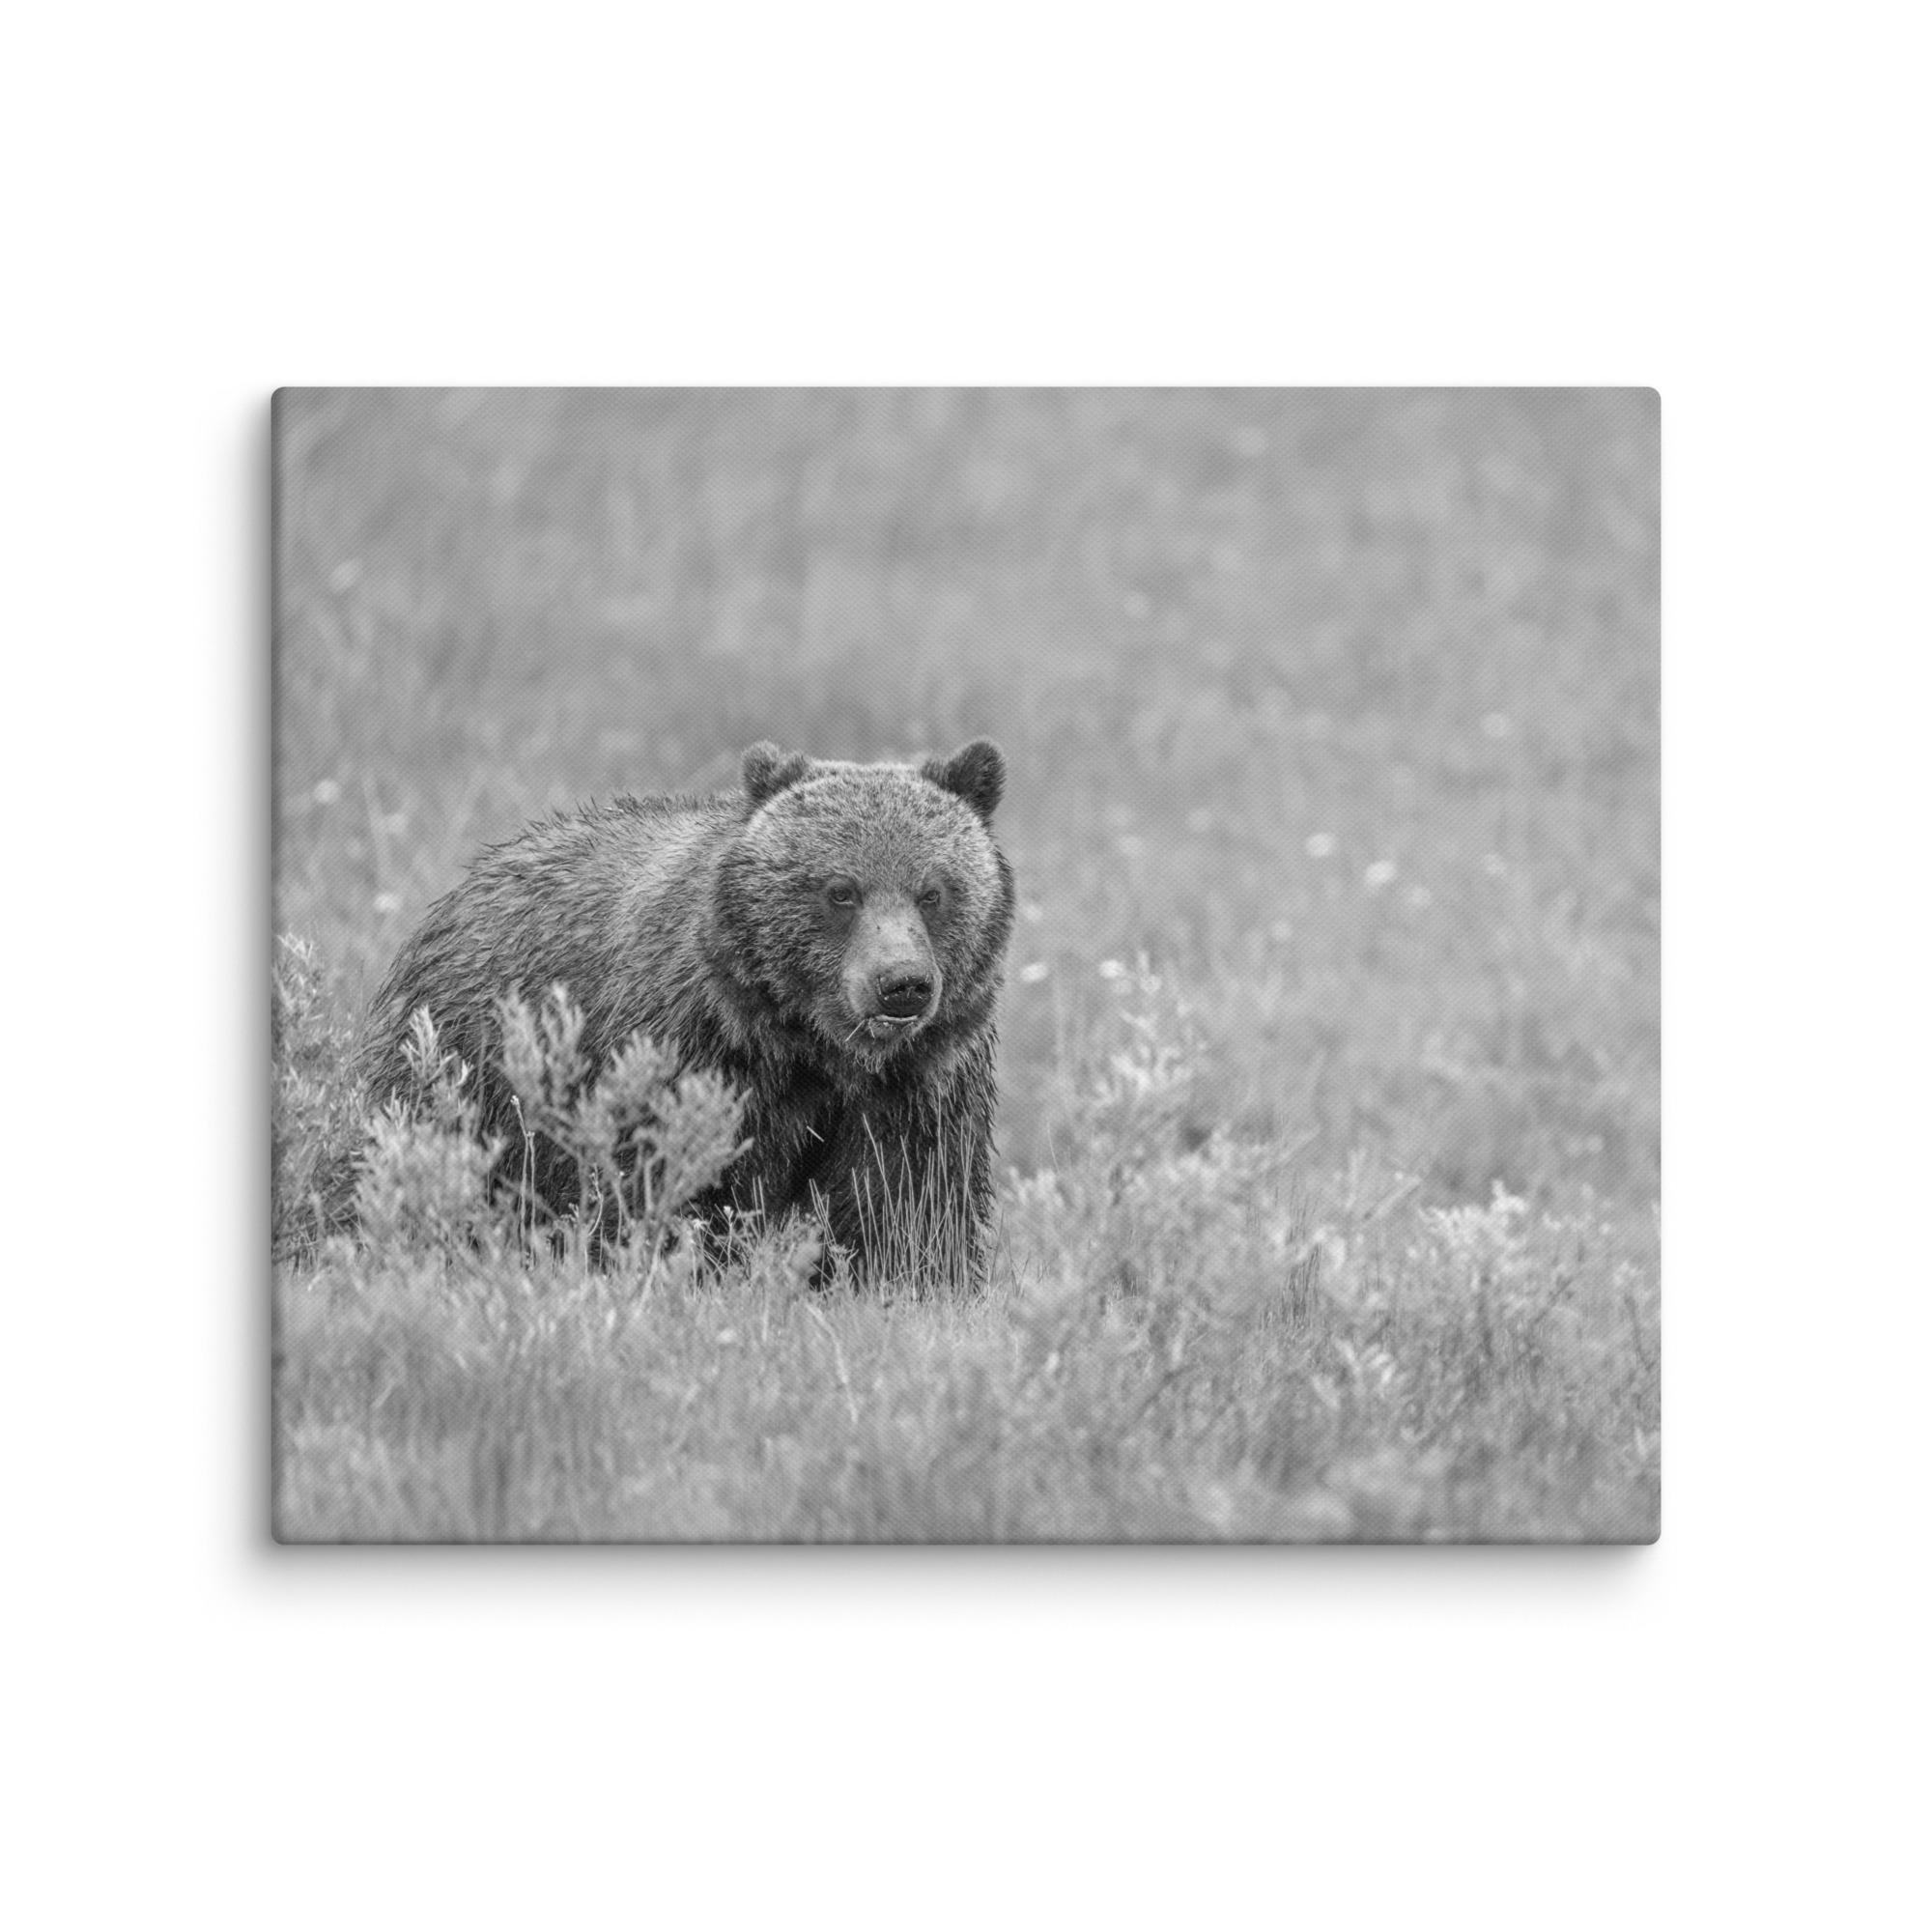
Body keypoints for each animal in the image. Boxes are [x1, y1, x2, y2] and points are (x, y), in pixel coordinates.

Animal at [359, 739, 1015, 1284]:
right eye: (840, 890)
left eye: (933, 891)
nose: (901, 984)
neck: (811, 1047)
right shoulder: (691, 1051)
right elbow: (670, 1183)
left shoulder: (919, 1084)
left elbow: (908, 1206)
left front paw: (910, 1284)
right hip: (467, 1066)